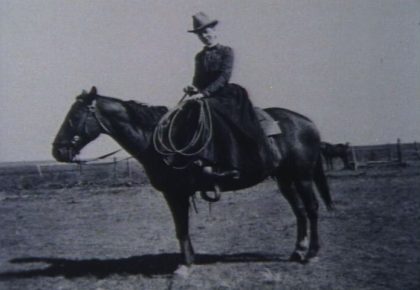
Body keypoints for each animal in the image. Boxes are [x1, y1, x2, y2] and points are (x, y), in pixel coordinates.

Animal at [52, 87, 334, 274]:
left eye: (73, 116)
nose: (57, 151)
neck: (156, 139)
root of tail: (308, 123)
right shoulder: (176, 194)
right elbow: (181, 228)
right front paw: (189, 260)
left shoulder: (176, 193)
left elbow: (182, 227)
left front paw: (185, 265)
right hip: (285, 179)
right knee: (299, 211)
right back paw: (297, 251)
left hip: (303, 176)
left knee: (311, 209)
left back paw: (312, 254)